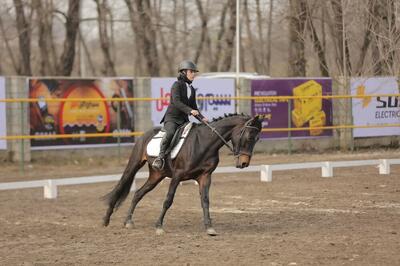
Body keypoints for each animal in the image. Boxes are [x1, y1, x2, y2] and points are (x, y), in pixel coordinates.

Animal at [102, 113, 262, 236]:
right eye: (249, 137)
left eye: (257, 139)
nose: (244, 163)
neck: (204, 143)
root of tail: (144, 135)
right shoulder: (177, 176)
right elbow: (168, 200)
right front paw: (159, 227)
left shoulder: (205, 176)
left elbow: (205, 200)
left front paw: (209, 227)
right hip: (135, 164)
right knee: (121, 185)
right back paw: (106, 219)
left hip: (157, 175)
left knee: (138, 194)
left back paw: (128, 221)